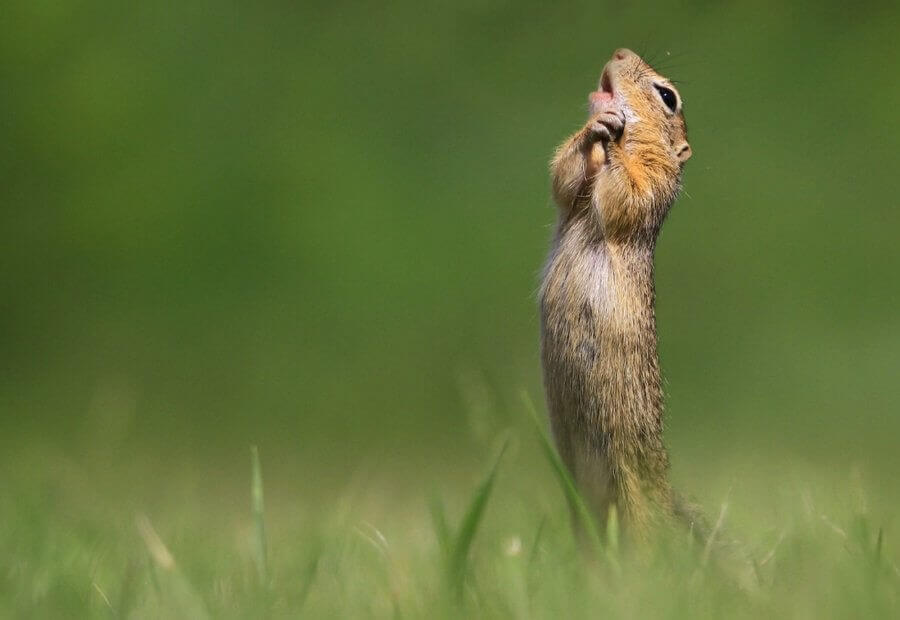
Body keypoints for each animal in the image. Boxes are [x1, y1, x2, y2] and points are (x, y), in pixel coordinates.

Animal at [536, 49, 692, 544]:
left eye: (668, 97)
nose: (621, 53)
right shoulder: (571, 195)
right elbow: (564, 178)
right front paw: (593, 130)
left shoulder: (653, 183)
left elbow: (626, 194)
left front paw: (611, 135)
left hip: (636, 500)